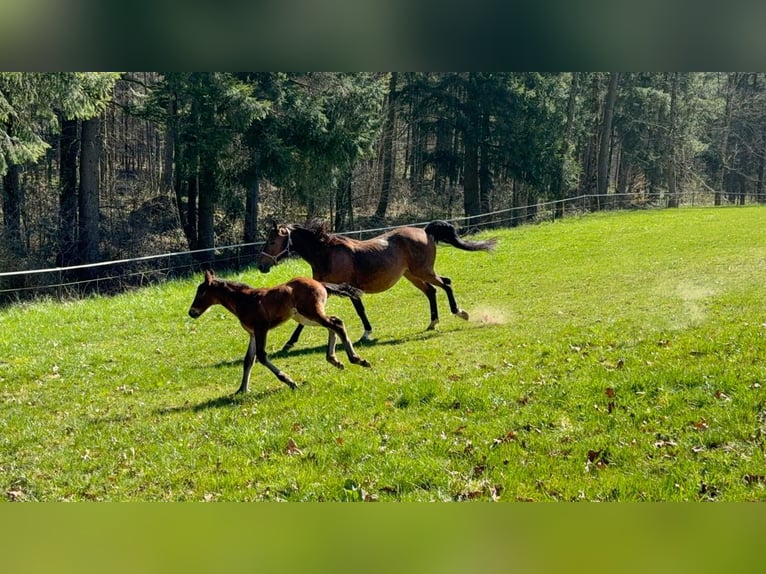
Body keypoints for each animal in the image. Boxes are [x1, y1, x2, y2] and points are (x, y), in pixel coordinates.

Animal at [187, 270, 370, 394]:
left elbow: (261, 356)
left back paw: (356, 359)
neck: (244, 300)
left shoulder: (261, 329)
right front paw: (242, 390)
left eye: (201, 291)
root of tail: (321, 284)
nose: (191, 312)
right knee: (334, 322)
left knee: (336, 324)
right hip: (305, 317)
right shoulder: (253, 333)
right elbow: (248, 360)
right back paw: (334, 360)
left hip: (311, 313)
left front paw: (290, 381)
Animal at [257, 220, 496, 351]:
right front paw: (289, 343)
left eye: (272, 241)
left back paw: (460, 313)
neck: (326, 253)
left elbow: (358, 311)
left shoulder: (343, 289)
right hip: (412, 275)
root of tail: (425, 231)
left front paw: (367, 334)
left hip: (423, 271)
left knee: (445, 284)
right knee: (432, 291)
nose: (261, 266)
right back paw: (432, 322)